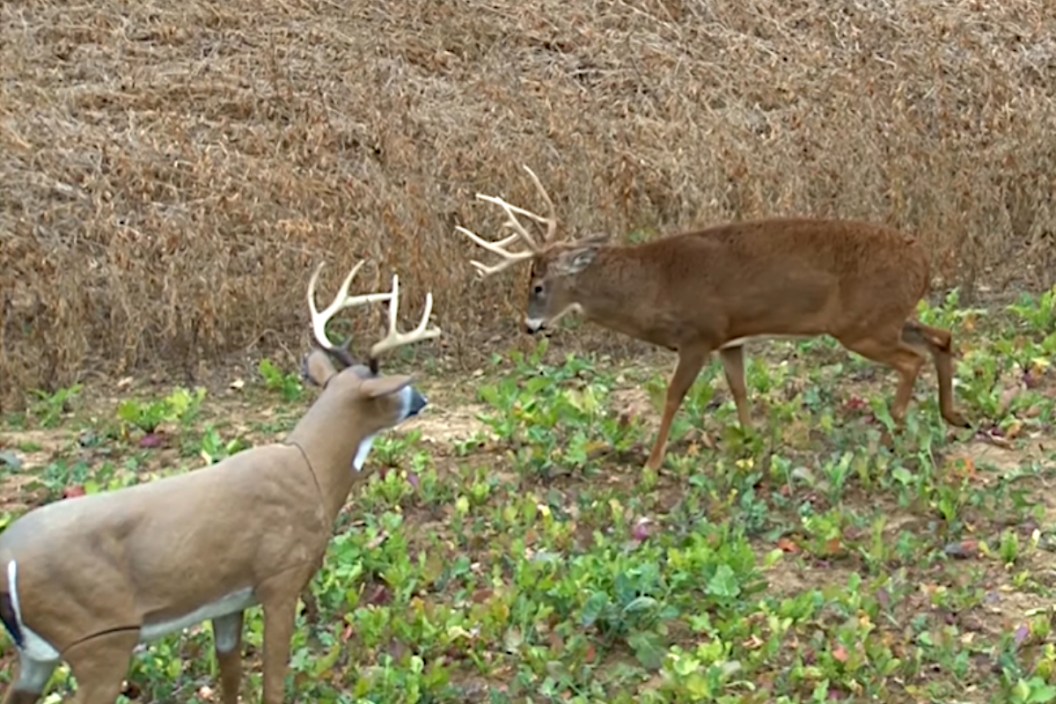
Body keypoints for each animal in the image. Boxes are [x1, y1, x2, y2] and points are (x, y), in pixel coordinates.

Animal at [0, 257, 441, 704]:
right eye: (392, 391)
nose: (422, 399)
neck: (311, 471)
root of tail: (7, 562)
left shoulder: (228, 601)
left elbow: (230, 673)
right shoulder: (281, 576)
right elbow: (272, 683)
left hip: (39, 655)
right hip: (98, 637)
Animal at [454, 165, 971, 471]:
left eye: (538, 287)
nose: (530, 327)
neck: (653, 287)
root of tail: (923, 259)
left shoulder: (697, 335)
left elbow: (673, 396)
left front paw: (651, 464)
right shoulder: (730, 339)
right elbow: (739, 390)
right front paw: (752, 442)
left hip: (862, 326)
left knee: (912, 358)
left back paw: (898, 423)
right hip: (884, 316)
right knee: (941, 337)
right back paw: (953, 415)